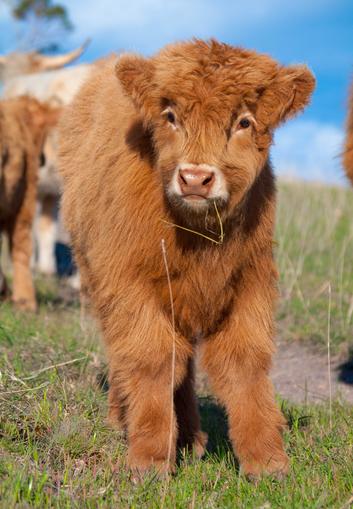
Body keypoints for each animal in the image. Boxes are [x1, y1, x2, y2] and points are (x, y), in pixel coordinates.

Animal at [57, 38, 314, 476]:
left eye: (244, 121)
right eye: (171, 116)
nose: (195, 178)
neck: (199, 240)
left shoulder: (250, 281)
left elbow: (244, 363)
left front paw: (266, 460)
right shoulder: (128, 286)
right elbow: (152, 358)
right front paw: (150, 458)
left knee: (187, 363)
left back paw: (192, 436)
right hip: (97, 278)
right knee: (128, 354)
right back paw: (121, 418)